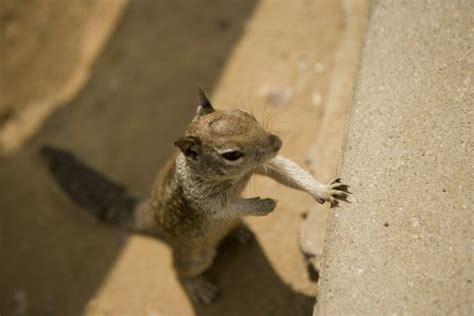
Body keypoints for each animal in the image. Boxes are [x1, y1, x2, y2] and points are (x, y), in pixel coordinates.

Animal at [40, 89, 350, 304]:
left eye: (246, 114)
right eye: (231, 154)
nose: (277, 142)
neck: (227, 176)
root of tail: (152, 217)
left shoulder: (264, 164)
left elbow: (286, 170)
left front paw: (322, 189)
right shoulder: (202, 198)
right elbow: (226, 207)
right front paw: (261, 205)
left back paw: (239, 232)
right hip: (194, 257)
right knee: (179, 271)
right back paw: (197, 286)